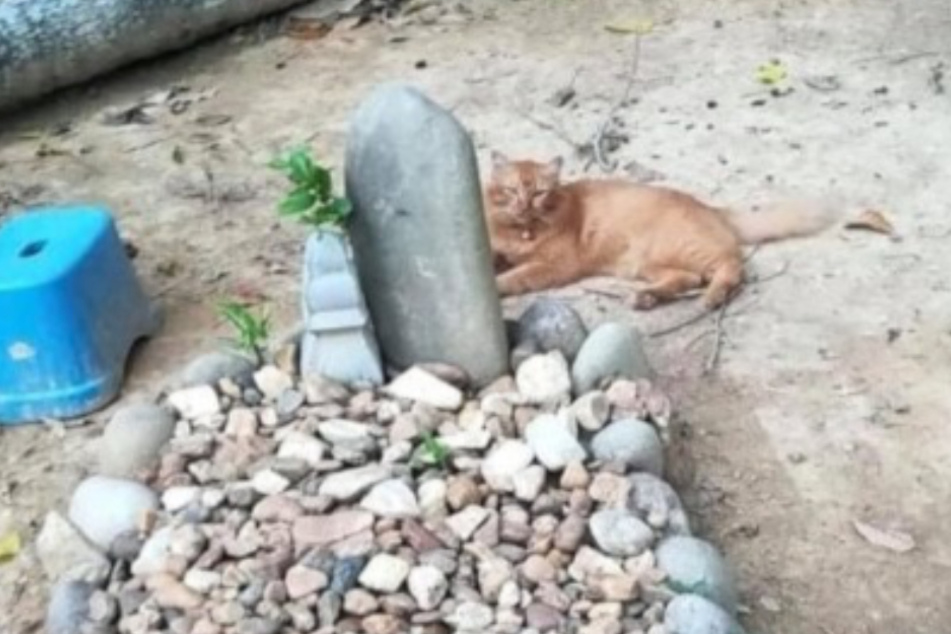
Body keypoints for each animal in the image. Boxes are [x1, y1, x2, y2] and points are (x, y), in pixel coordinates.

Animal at [488, 151, 836, 308]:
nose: (524, 205)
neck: (521, 232)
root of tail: (710, 208)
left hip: (682, 250)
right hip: (648, 264)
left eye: (538, 193)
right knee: (688, 278)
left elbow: (517, 276)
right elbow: (498, 259)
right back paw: (646, 297)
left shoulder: (555, 265)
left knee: (731, 268)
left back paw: (712, 297)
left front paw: (500, 284)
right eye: (510, 190)